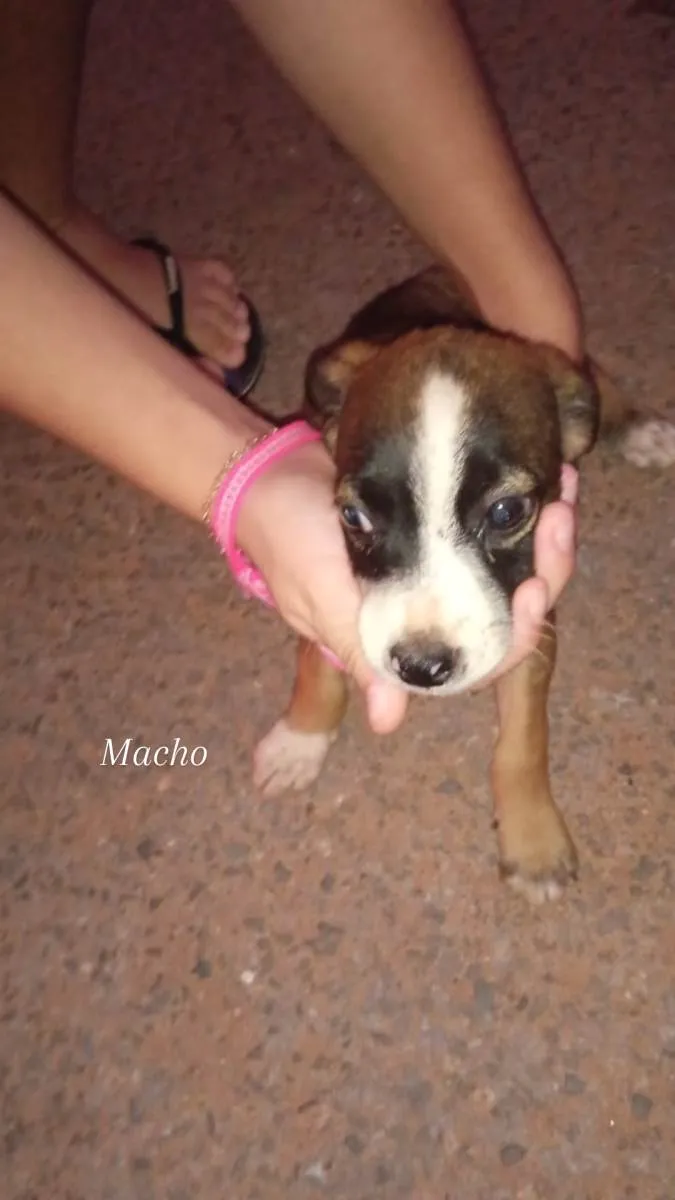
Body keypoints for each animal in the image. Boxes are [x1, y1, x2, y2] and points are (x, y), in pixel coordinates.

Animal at [253, 262, 672, 902]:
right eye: (355, 517)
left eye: (506, 513)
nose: (421, 669)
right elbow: (314, 662)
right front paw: (301, 736)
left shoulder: (533, 624)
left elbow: (522, 744)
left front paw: (532, 843)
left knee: (590, 373)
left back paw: (638, 426)